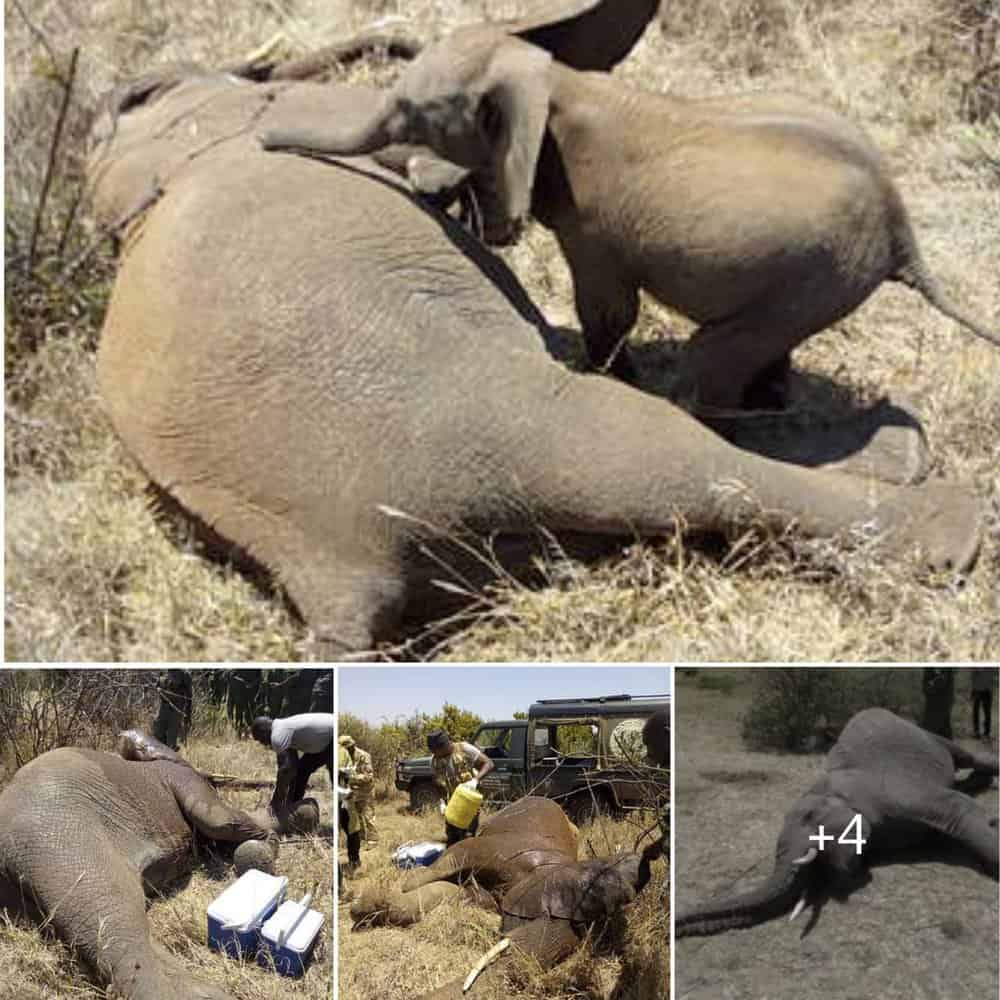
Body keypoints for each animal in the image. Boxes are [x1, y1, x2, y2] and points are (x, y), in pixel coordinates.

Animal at [0, 745, 319, 1000]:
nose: (315, 802)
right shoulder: (181, 777)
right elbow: (220, 819)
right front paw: (268, 845)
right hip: (63, 839)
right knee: (122, 926)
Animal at [261, 16, 1000, 410]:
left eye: (414, 113)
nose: (266, 139)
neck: (550, 76)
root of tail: (903, 231)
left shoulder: (592, 224)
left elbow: (608, 304)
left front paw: (609, 380)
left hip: (823, 273)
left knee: (714, 356)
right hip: (822, 276)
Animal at [348, 796, 661, 999]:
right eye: (593, 887)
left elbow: (452, 891)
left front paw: (369, 907)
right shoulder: (500, 849)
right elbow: (449, 862)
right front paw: (375, 900)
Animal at [675, 708, 999, 938]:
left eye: (809, 817)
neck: (832, 789)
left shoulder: (896, 794)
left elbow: (958, 810)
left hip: (924, 734)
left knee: (965, 756)